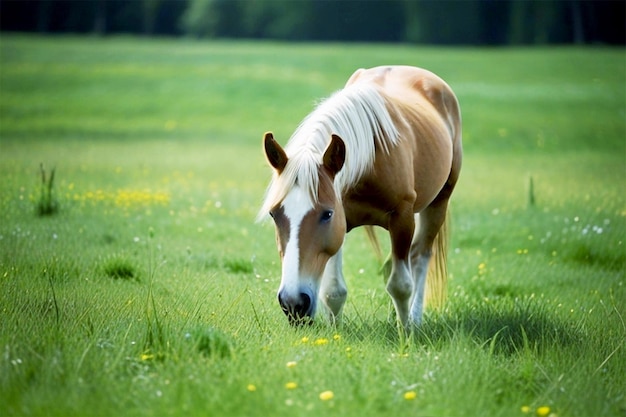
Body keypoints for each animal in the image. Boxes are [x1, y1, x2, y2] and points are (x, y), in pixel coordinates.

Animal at [256, 65, 460, 332]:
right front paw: (335, 331)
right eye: (274, 214)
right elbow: (333, 291)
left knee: (421, 257)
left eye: (327, 214)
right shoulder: (342, 225)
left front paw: (406, 334)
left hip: (438, 203)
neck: (373, 157)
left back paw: (414, 319)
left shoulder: (402, 219)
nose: (293, 303)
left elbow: (401, 285)